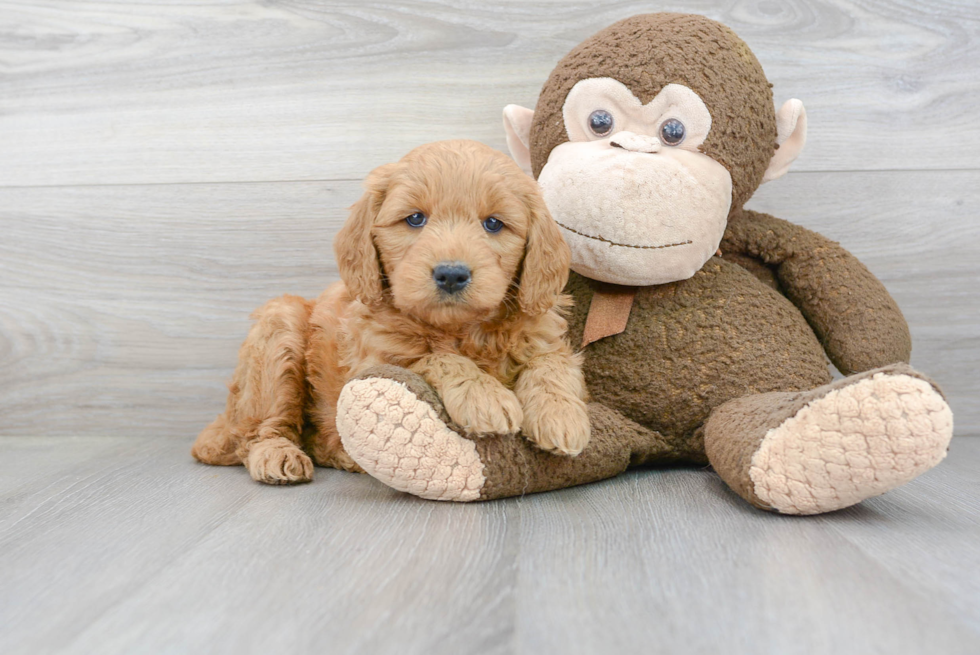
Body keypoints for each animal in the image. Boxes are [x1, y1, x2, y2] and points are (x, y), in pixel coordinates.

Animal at [191, 141, 588, 484]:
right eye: (414, 219)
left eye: (493, 224)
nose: (451, 274)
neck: (461, 330)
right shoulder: (374, 360)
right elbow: (433, 357)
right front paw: (483, 395)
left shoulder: (544, 334)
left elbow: (552, 363)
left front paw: (561, 414)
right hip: (279, 330)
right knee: (259, 429)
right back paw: (277, 454)